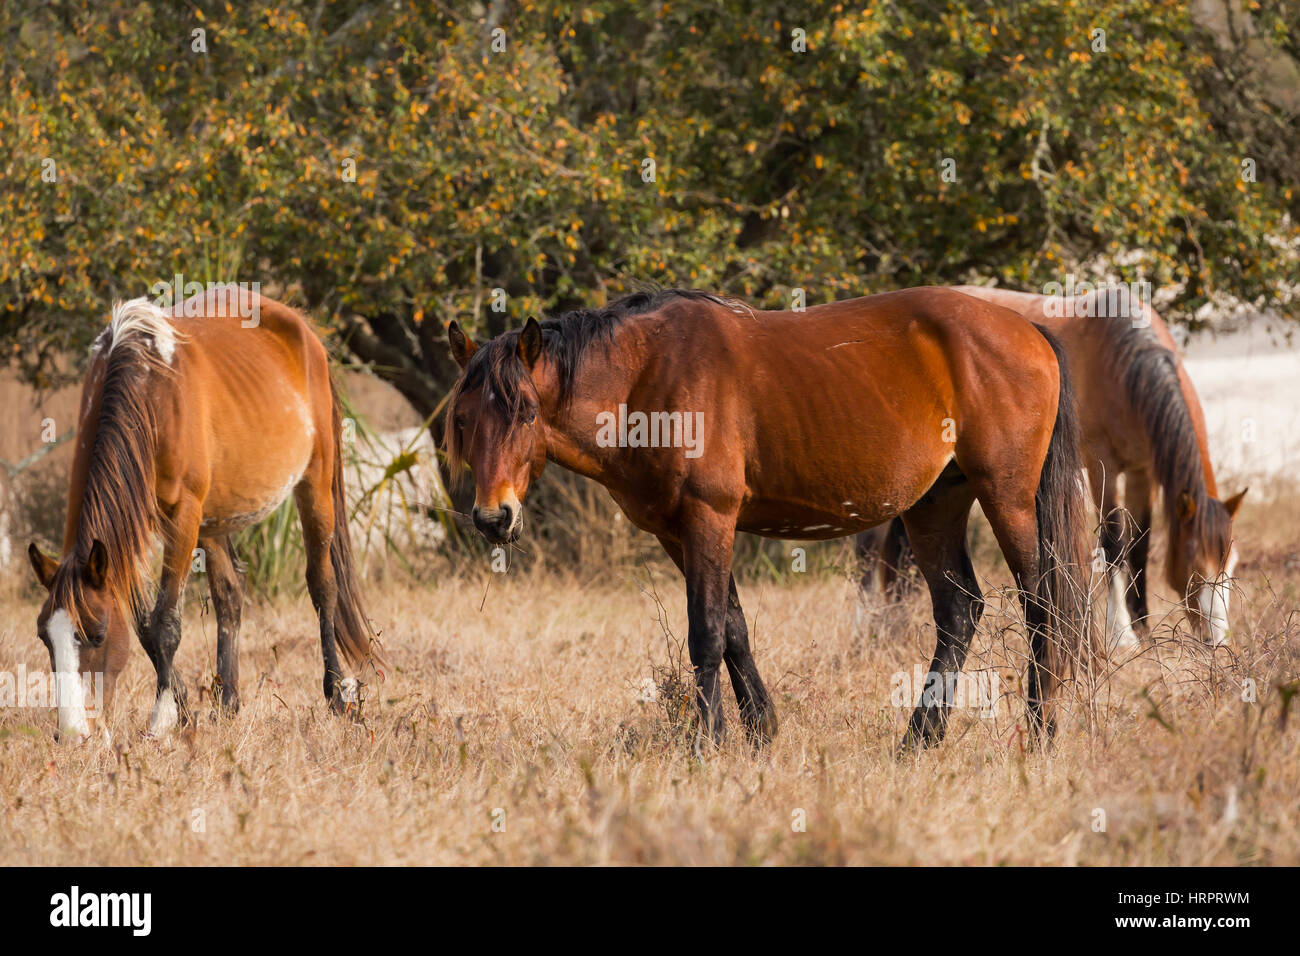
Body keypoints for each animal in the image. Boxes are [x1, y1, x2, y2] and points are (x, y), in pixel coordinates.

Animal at [29, 287, 384, 743]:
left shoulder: (182, 516)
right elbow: (145, 627)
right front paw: (183, 708)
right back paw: (227, 701)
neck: (149, 390)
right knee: (230, 594)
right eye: (45, 638)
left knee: (323, 586)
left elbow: (164, 623)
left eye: (96, 634)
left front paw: (161, 718)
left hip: (315, 482)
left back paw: (336, 694)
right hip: (214, 519)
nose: (72, 734)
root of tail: (303, 331)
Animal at [441, 287, 1092, 749]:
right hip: (935, 505)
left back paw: (1042, 730)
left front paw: (708, 744)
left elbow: (705, 632)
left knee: (1042, 603)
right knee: (959, 610)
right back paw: (919, 739)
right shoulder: (678, 531)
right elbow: (733, 627)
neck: (647, 375)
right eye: (466, 419)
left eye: (526, 414)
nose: (494, 517)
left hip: (1005, 496)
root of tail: (1029, 331)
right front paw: (760, 731)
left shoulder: (709, 518)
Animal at [857, 287, 1242, 650]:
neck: (1119, 360)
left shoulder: (1141, 471)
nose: (1218, 642)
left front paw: (1143, 628)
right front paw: (1123, 636)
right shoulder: (1101, 464)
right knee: (873, 545)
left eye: (1230, 566)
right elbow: (1114, 543)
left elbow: (1140, 546)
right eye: (1194, 566)